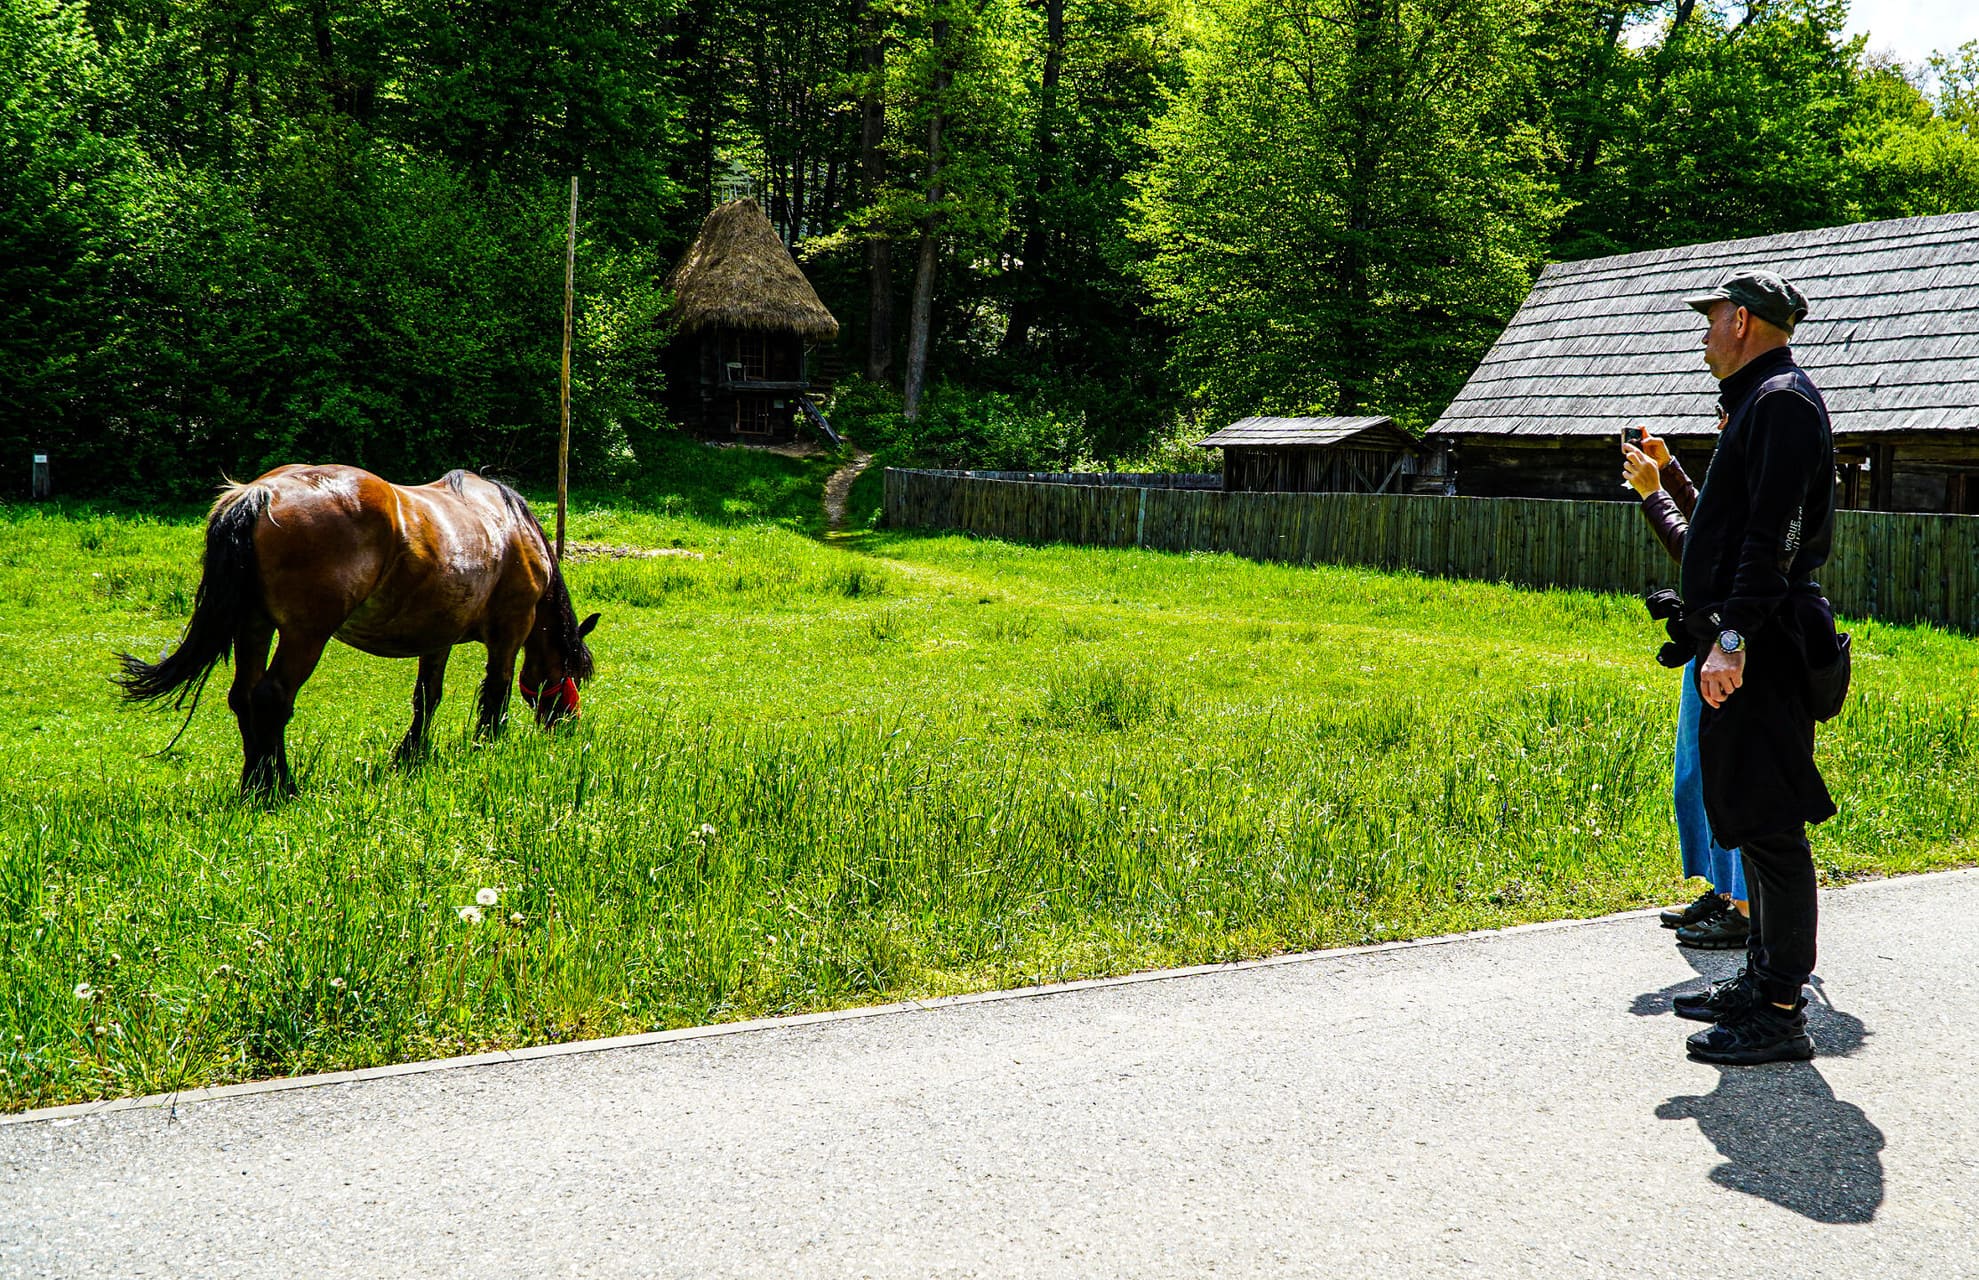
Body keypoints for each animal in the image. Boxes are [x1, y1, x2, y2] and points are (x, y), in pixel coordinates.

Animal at [113, 464, 593, 795]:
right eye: (569, 674)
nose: (568, 726)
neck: (510, 527)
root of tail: (260, 494)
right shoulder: (511, 630)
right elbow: (496, 692)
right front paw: (487, 747)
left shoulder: (436, 637)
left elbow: (427, 698)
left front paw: (411, 755)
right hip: (305, 635)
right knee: (272, 697)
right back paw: (280, 787)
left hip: (254, 626)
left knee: (244, 697)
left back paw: (255, 783)